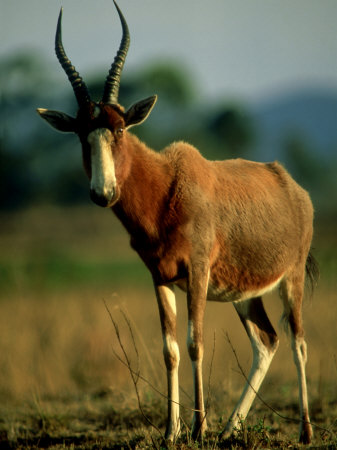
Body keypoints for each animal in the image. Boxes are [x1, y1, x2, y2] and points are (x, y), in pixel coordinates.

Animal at [38, 0, 316, 442]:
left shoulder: (198, 273)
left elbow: (195, 342)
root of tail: (290, 183)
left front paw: (198, 428)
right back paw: (229, 432)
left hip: (291, 280)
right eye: (82, 133)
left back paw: (303, 431)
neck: (168, 184)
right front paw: (172, 432)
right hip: (244, 293)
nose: (103, 193)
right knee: (267, 341)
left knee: (297, 342)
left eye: (119, 128)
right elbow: (169, 349)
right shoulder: (161, 276)